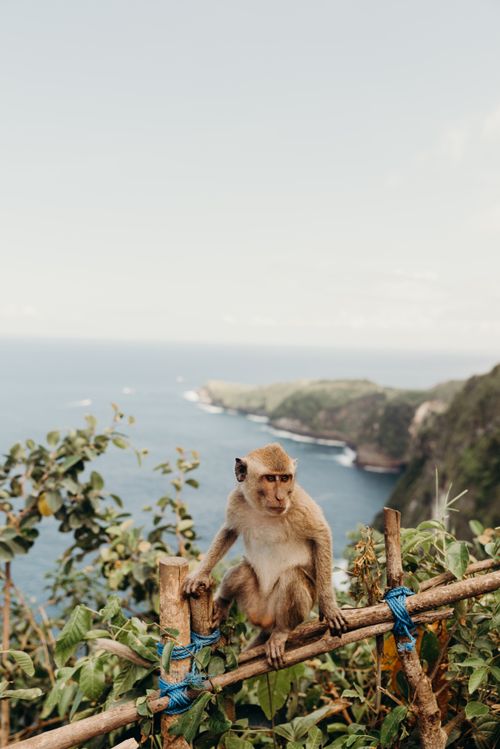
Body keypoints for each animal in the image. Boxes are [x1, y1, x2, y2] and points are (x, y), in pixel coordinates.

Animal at [183, 443, 347, 668]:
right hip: (253, 604)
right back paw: (223, 603)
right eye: (270, 478)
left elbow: (321, 535)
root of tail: (265, 621)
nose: (280, 497)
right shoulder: (237, 499)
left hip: (282, 611)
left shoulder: (299, 503)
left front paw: (329, 607)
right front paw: (200, 574)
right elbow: (229, 531)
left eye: (285, 478)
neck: (264, 510)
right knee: (242, 571)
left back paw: (281, 632)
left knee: (292, 578)